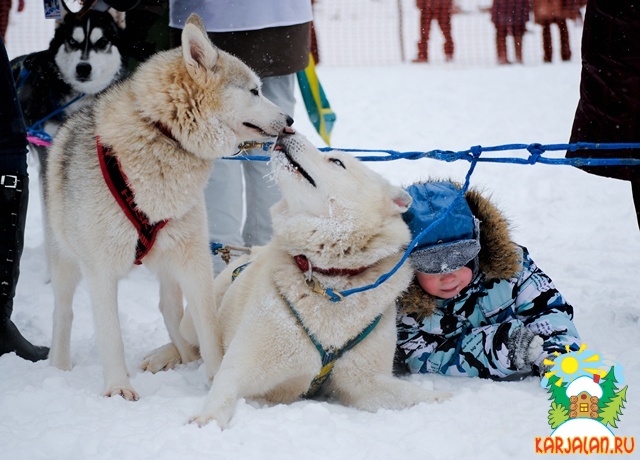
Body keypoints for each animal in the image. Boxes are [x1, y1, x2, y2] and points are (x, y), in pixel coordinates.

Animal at [46, 14, 294, 400]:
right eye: (254, 91)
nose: (290, 121)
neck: (161, 133)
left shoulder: (193, 260)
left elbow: (207, 328)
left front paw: (216, 376)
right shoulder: (101, 269)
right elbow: (110, 334)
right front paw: (118, 388)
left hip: (167, 258)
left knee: (170, 309)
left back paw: (185, 357)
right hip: (65, 259)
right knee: (64, 311)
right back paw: (57, 368)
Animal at [141, 128, 450, 428]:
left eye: (336, 162)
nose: (286, 129)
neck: (329, 280)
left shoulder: (367, 382)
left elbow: (414, 395)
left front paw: (444, 399)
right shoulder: (241, 366)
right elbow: (224, 389)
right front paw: (208, 420)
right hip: (201, 314)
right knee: (189, 342)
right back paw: (160, 357)